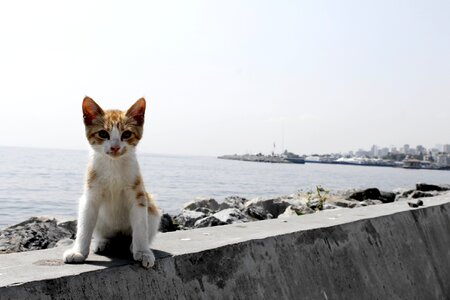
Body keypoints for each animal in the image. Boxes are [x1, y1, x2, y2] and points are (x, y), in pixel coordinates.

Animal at [62, 97, 162, 268]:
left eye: (126, 134)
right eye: (103, 133)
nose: (115, 147)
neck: (113, 165)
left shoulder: (139, 195)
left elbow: (141, 226)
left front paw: (143, 252)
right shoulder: (90, 197)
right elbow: (84, 226)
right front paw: (78, 252)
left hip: (152, 209)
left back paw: (134, 245)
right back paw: (102, 242)